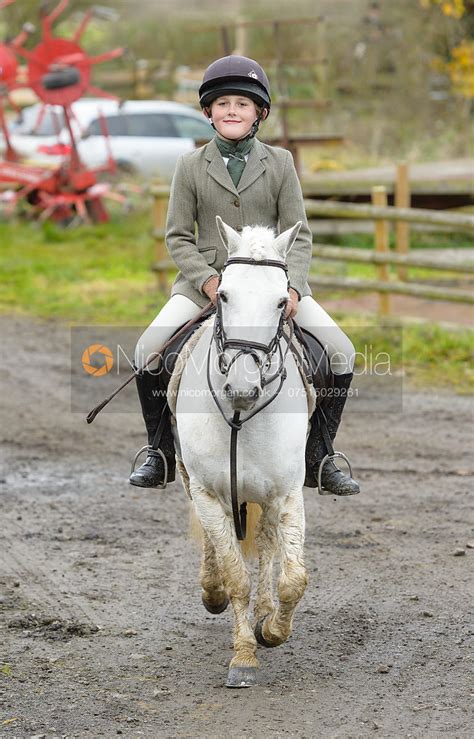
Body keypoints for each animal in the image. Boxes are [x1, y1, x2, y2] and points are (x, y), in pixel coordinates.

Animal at [172, 217, 310, 692]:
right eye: (224, 295)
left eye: (281, 301)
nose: (242, 389)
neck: (241, 417)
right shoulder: (208, 493)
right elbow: (235, 576)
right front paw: (244, 657)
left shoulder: (287, 494)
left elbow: (293, 579)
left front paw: (271, 630)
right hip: (191, 481)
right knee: (218, 547)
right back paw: (211, 591)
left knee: (267, 543)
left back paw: (265, 612)